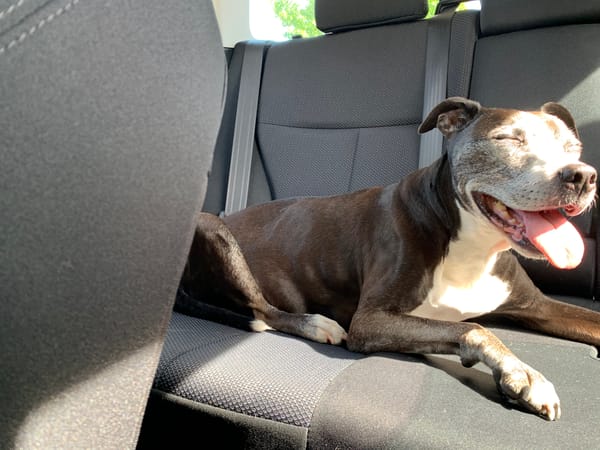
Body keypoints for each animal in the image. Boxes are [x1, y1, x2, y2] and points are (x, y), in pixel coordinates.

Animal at [179, 96, 600, 422]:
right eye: (509, 138)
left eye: (573, 147)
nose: (582, 176)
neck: (471, 245)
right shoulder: (371, 320)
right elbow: (474, 329)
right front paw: (523, 374)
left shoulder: (539, 306)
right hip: (212, 228)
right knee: (263, 310)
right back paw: (315, 324)